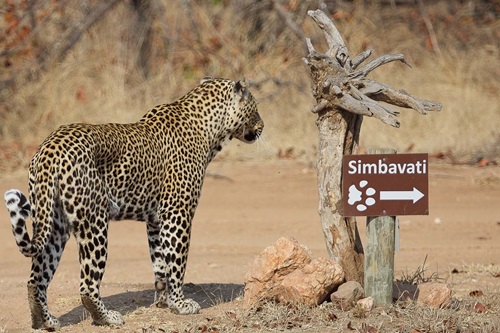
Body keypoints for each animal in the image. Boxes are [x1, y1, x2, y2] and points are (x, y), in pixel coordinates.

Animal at [3, 76, 264, 328]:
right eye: (256, 108)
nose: (262, 126)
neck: (210, 130)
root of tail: (50, 148)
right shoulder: (177, 214)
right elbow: (177, 262)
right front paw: (180, 304)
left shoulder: (156, 221)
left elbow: (160, 263)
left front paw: (163, 302)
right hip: (93, 223)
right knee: (87, 285)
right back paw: (107, 318)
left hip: (54, 224)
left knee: (35, 279)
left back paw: (44, 321)